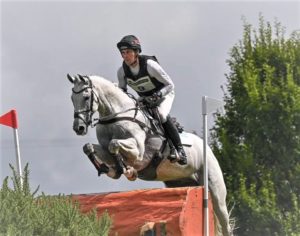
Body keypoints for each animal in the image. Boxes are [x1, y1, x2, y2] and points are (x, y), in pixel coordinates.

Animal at [68, 74, 232, 236]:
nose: (79, 128)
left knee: (224, 222)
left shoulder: (138, 153)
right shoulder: (105, 150)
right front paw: (109, 169)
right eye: (72, 98)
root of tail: (206, 147)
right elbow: (89, 147)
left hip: (214, 188)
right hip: (181, 182)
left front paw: (127, 171)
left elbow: (114, 144)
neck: (116, 116)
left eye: (86, 97)